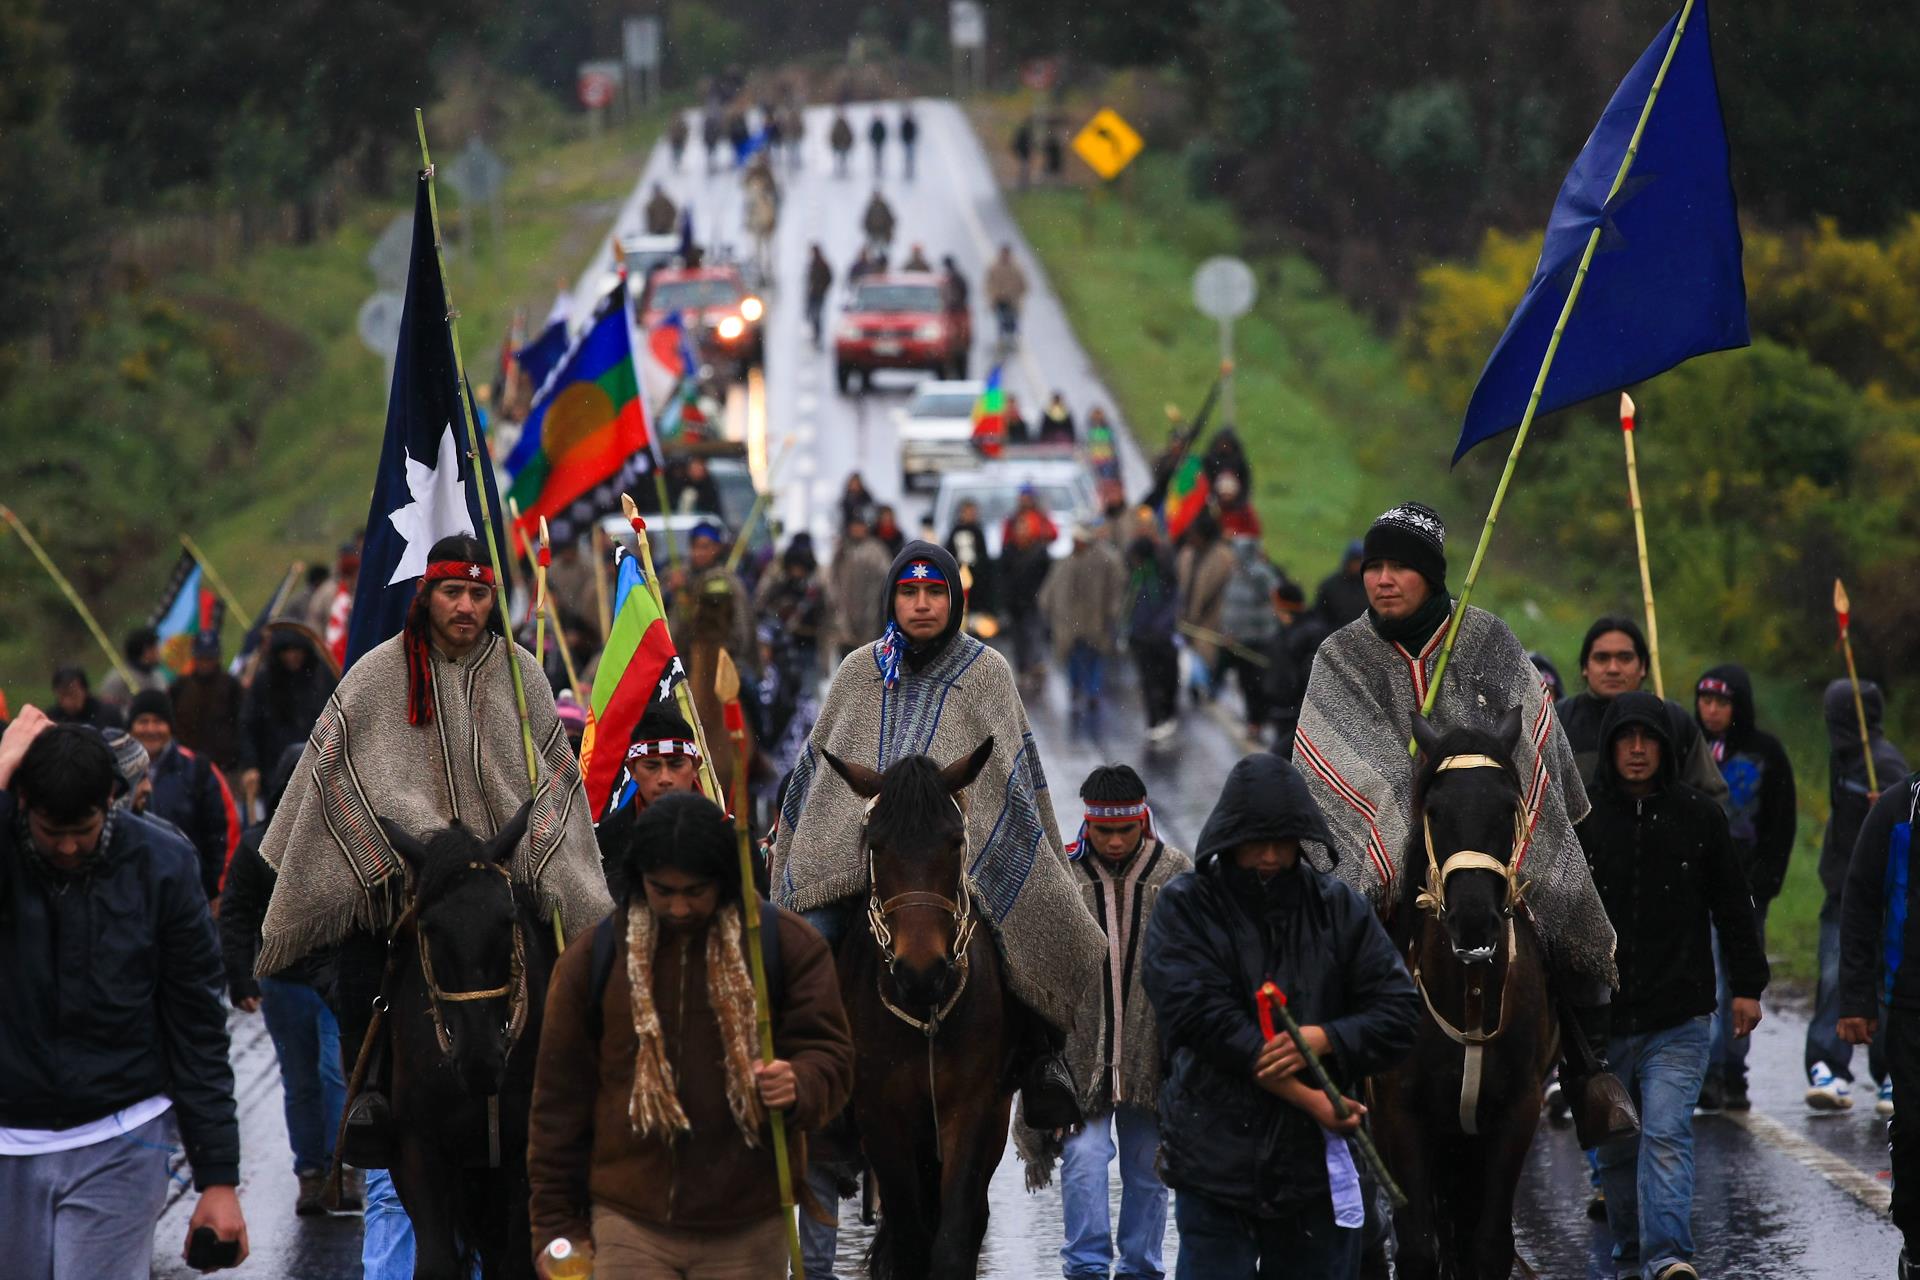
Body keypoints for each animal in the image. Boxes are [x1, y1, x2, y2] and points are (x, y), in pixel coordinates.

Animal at [370, 805, 560, 1274]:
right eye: (430, 927)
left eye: (508, 920)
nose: (481, 1061)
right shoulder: (418, 1150)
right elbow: (436, 1261)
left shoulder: (522, 1156)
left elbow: (516, 1262)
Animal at [821, 740, 1021, 1280]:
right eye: (875, 846)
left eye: (955, 842)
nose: (920, 969)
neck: (925, 1013)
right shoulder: (880, 1117)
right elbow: (910, 1242)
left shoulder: (971, 1110)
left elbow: (952, 1238)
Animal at [1367, 710, 1559, 1280]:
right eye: (1435, 810)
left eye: (1507, 807)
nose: (1473, 921)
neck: (1469, 995)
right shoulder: (1399, 1114)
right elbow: (1416, 1247)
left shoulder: (1515, 1113)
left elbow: (1488, 1246)